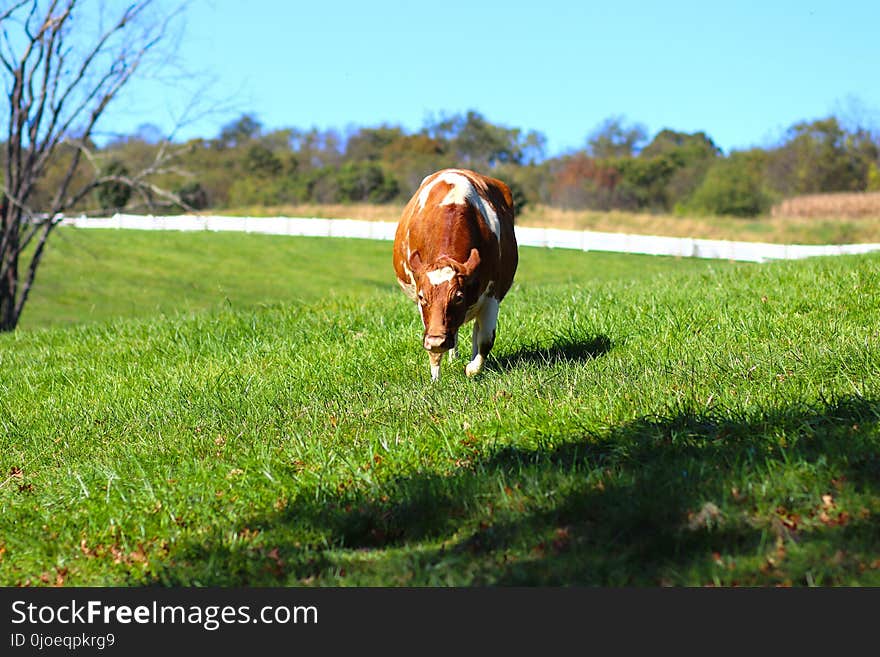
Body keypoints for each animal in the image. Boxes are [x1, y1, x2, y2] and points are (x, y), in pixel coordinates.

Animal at [390, 168, 516, 380]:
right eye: (422, 297)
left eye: (458, 297)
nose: (437, 341)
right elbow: (433, 342)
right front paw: (435, 379)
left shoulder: (492, 295)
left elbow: (485, 340)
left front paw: (472, 369)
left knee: (475, 332)